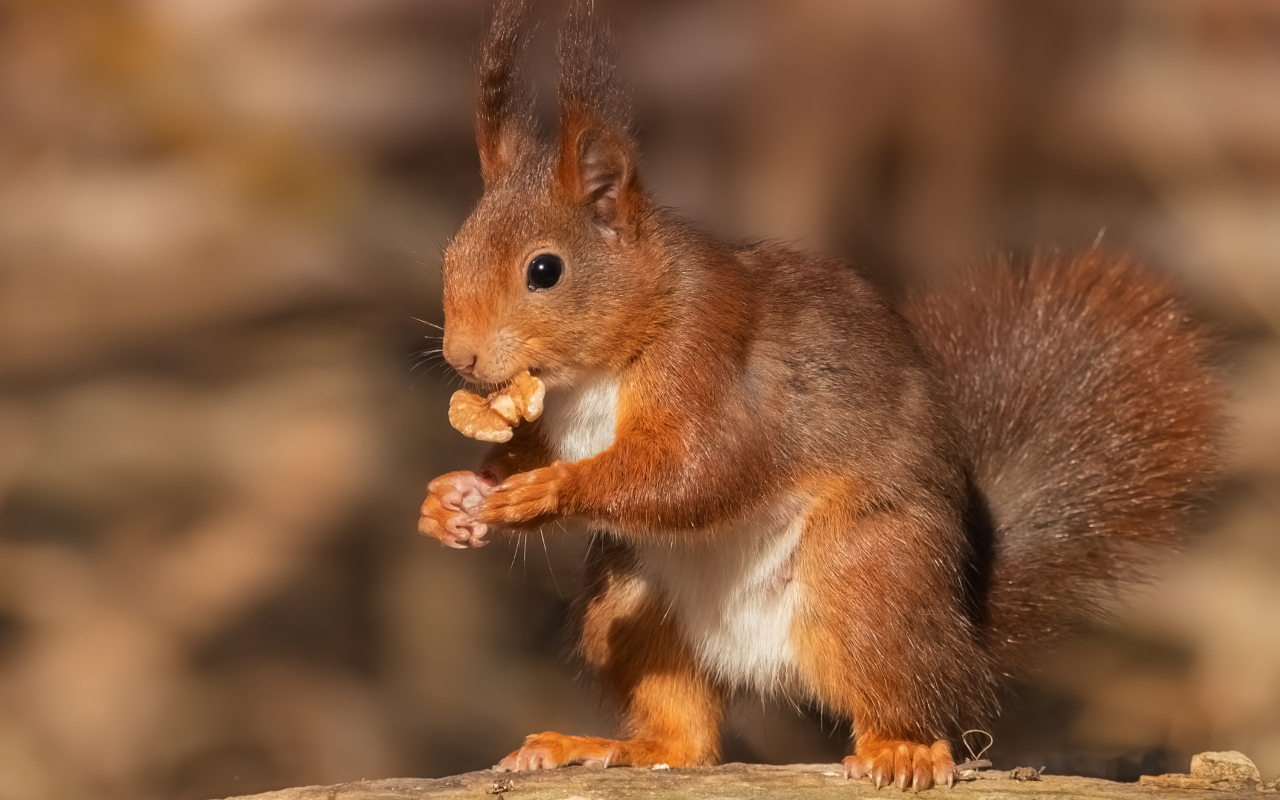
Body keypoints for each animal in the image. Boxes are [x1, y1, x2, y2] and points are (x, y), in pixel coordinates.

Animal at [417, 0, 1218, 788]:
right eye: (452, 252)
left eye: (544, 270)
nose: (461, 357)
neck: (600, 368)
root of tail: (963, 632)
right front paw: (453, 499)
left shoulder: (708, 361)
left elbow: (700, 470)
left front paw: (547, 492)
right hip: (632, 601)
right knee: (686, 736)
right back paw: (602, 745)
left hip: (864, 580)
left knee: (910, 699)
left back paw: (902, 750)